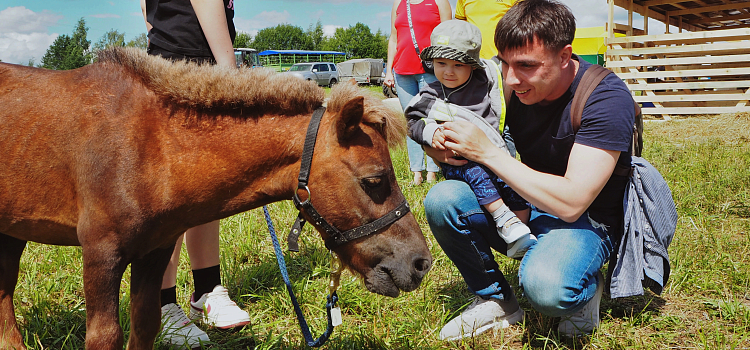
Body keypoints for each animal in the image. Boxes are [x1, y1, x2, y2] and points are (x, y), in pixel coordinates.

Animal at [0, 47, 432, 350]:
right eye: (374, 180)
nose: (420, 263)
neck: (150, 143)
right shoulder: (100, 253)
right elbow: (104, 336)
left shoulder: (154, 250)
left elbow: (145, 324)